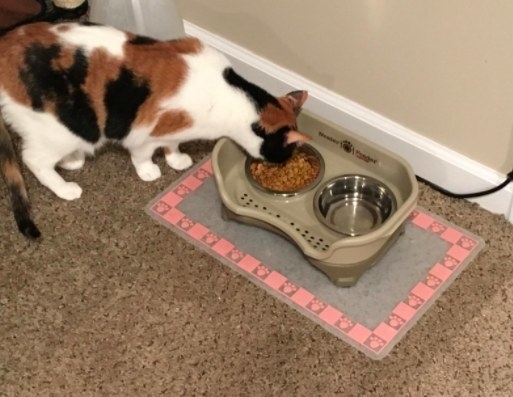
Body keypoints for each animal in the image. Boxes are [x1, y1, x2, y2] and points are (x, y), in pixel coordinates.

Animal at [0, 20, 308, 238]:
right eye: (286, 151)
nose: (284, 162)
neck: (229, 95)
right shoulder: (143, 131)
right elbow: (143, 154)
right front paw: (149, 171)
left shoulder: (172, 130)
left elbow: (173, 144)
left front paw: (176, 159)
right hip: (59, 128)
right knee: (34, 159)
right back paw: (65, 188)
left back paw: (72, 161)